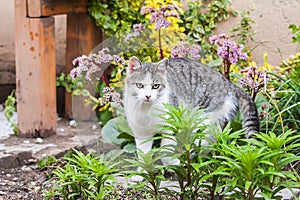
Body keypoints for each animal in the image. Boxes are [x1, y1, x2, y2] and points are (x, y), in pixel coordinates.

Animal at [123, 56, 258, 164]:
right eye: (139, 85)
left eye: (155, 86)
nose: (148, 96)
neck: (146, 109)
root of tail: (229, 83)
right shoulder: (141, 133)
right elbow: (143, 156)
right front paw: (142, 173)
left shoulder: (171, 127)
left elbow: (165, 152)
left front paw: (174, 163)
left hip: (202, 119)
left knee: (205, 141)